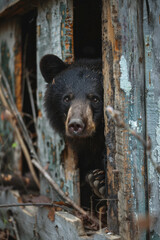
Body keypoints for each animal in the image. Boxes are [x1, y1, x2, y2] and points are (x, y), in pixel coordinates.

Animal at [39, 54, 105, 206]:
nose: (76, 125)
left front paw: (99, 181)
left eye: (95, 99)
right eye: (67, 98)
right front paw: (94, 180)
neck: (92, 140)